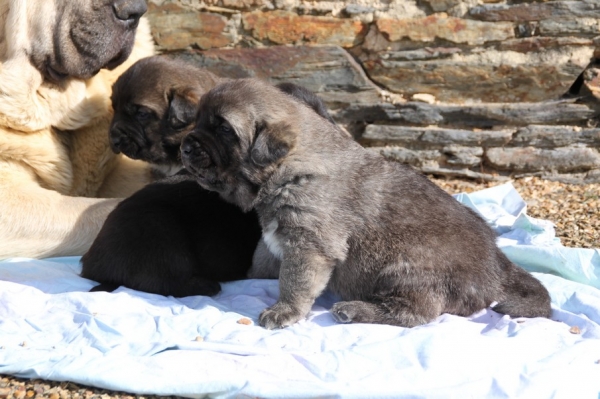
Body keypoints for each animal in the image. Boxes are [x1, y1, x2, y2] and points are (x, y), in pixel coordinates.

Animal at [179, 79, 552, 332]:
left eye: (223, 129)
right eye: (198, 120)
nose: (184, 145)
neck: (289, 169)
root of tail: (497, 268)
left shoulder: (309, 246)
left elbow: (295, 281)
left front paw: (283, 311)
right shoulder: (277, 240)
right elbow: (262, 264)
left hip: (406, 269)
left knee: (417, 313)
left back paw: (355, 310)